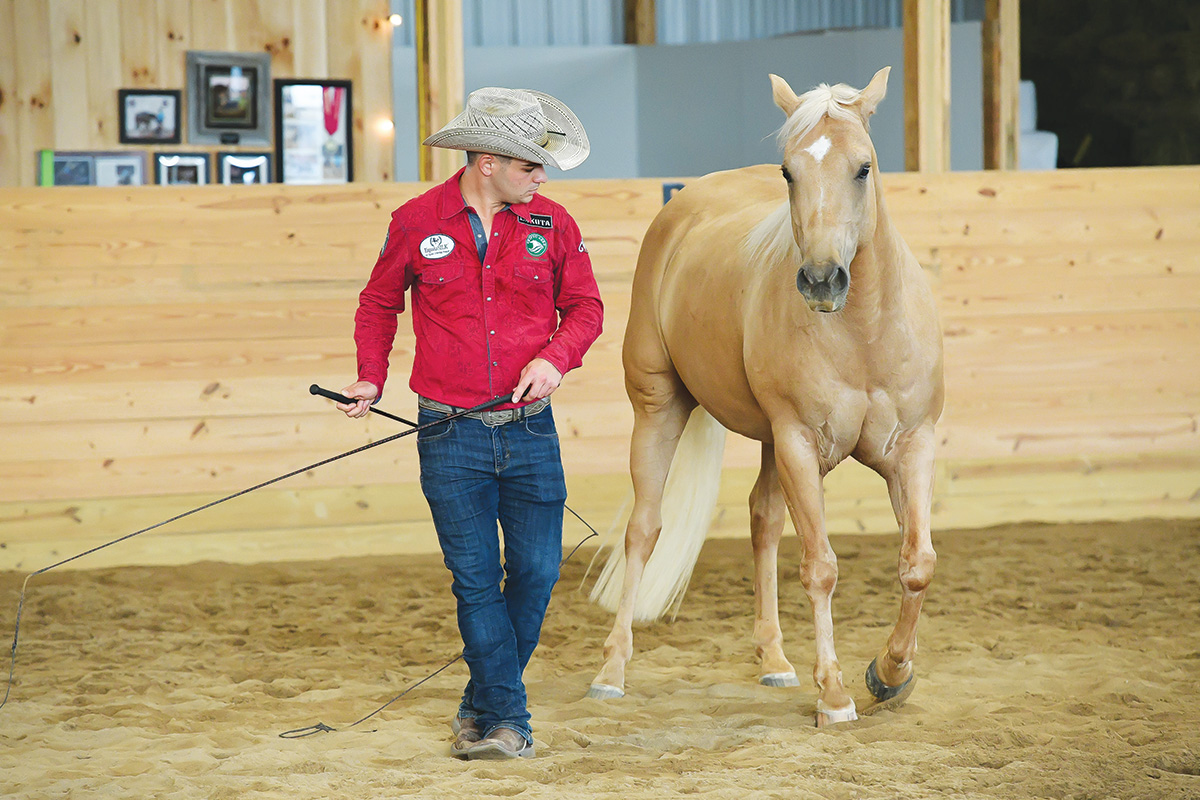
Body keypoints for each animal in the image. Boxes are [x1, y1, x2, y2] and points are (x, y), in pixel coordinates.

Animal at [585, 68, 940, 729]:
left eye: (863, 167)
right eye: (788, 172)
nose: (822, 280)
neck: (864, 333)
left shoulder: (911, 446)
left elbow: (917, 564)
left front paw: (889, 673)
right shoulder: (800, 442)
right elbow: (821, 567)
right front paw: (835, 694)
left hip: (772, 444)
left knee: (763, 520)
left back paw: (774, 658)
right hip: (661, 411)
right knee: (644, 529)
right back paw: (611, 671)